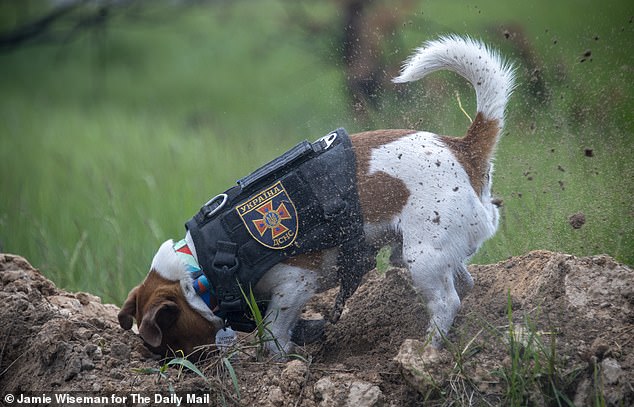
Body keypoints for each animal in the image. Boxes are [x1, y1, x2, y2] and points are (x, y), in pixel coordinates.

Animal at [117, 36, 512, 358]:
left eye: (167, 343)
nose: (169, 364)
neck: (200, 268)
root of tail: (463, 148)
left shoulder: (295, 283)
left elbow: (274, 331)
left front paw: (277, 359)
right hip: (427, 252)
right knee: (464, 284)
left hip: (423, 256)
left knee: (447, 302)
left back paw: (428, 346)